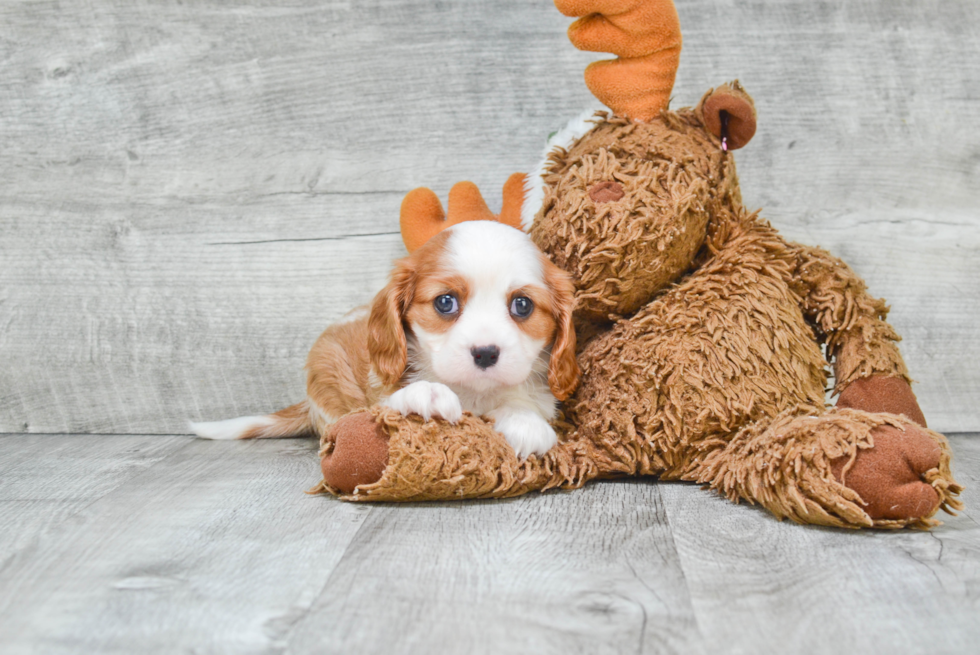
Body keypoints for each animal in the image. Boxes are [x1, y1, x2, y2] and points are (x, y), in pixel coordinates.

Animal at [191, 220, 580, 462]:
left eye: (522, 305)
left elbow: (525, 405)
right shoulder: (377, 396)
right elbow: (393, 401)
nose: (485, 353)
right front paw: (428, 394)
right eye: (445, 302)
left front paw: (525, 423)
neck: (472, 392)